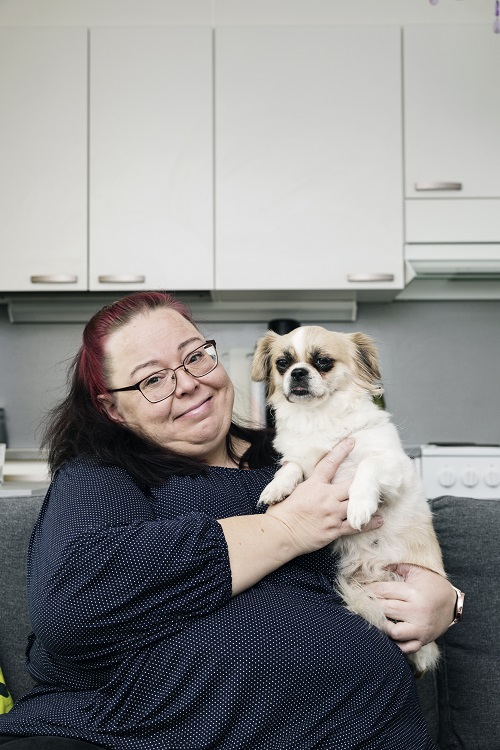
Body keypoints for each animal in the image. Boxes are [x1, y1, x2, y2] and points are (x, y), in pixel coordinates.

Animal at [252, 326, 448, 680]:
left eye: (323, 362)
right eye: (282, 364)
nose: (298, 372)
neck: (318, 418)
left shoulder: (395, 467)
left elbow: (367, 466)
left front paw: (359, 506)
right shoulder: (301, 462)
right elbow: (291, 467)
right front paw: (276, 489)